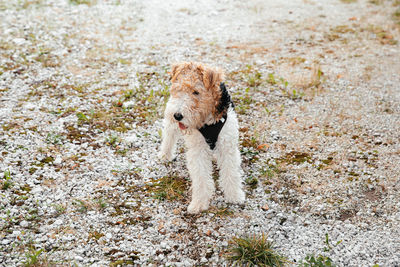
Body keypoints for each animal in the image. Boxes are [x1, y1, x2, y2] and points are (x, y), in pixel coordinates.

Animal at [159, 61, 245, 215]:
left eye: (196, 92)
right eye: (178, 89)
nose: (178, 115)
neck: (208, 120)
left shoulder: (227, 145)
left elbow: (231, 173)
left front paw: (234, 196)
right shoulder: (198, 149)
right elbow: (201, 178)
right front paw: (199, 203)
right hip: (170, 120)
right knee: (169, 136)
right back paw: (165, 155)